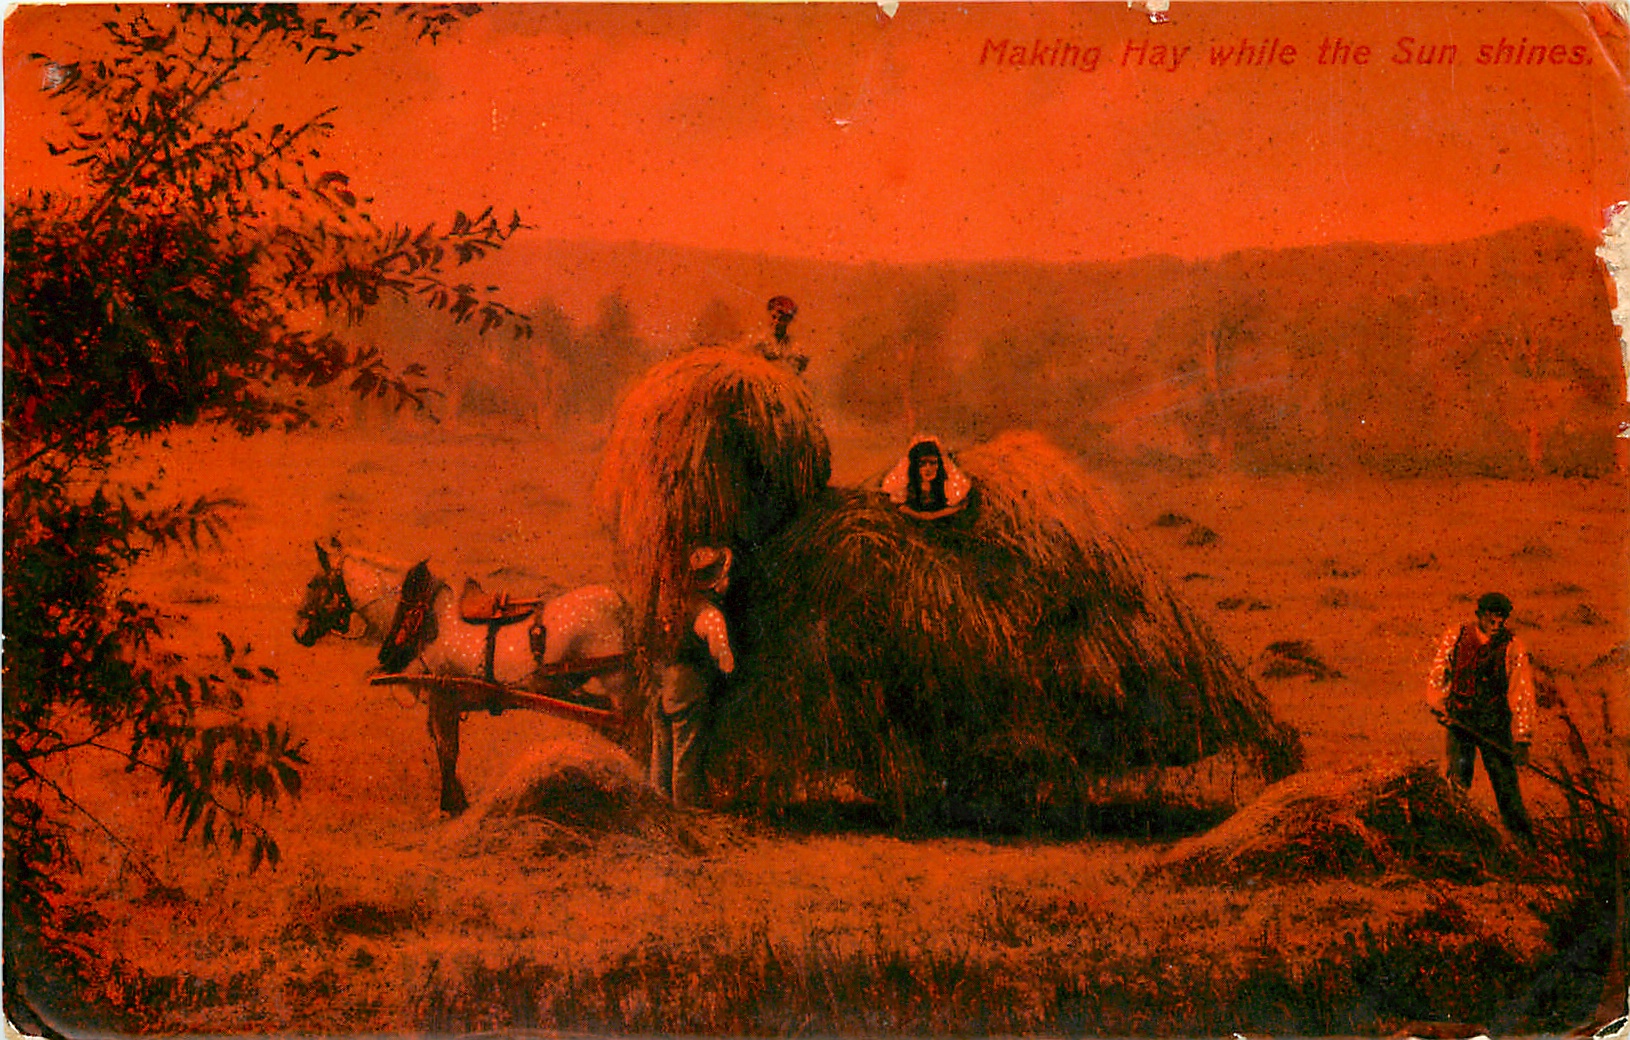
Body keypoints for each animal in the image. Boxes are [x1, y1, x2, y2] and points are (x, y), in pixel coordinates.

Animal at [294, 539, 635, 813]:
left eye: (313, 583)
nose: (298, 633)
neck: (423, 618)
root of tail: (620, 602)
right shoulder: (443, 700)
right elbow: (442, 747)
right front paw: (457, 801)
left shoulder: (443, 693)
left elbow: (447, 751)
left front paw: (448, 807)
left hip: (615, 687)